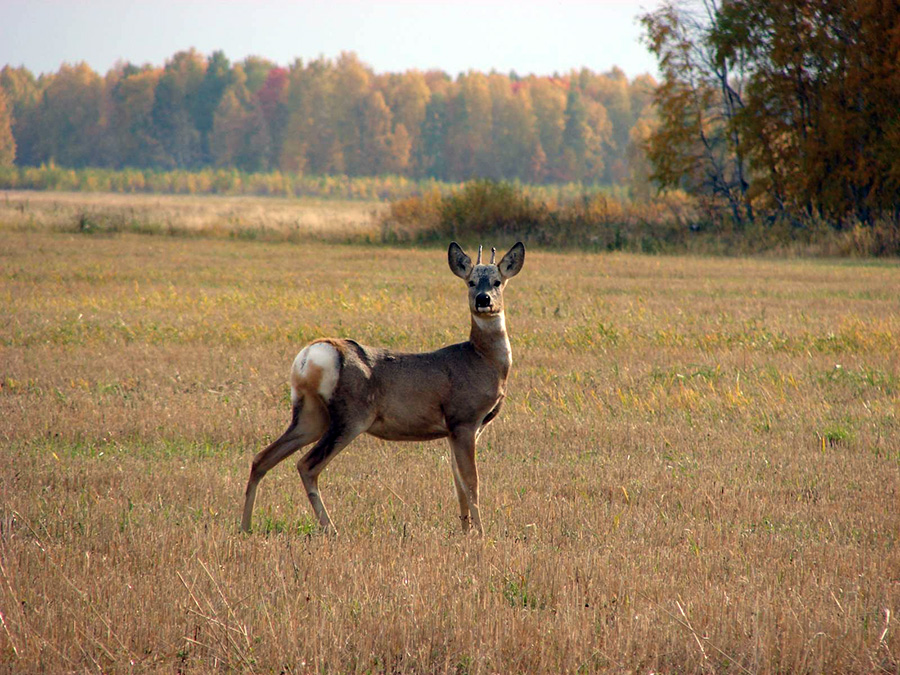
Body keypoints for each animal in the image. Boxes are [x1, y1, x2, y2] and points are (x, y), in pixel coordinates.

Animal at [241, 240, 528, 536]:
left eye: (497, 281)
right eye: (471, 282)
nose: (484, 300)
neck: (483, 360)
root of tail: (310, 356)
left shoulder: (454, 430)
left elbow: (457, 481)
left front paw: (465, 530)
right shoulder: (464, 418)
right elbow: (472, 482)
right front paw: (481, 533)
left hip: (310, 416)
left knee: (261, 458)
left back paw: (245, 526)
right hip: (351, 416)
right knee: (306, 465)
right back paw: (331, 528)